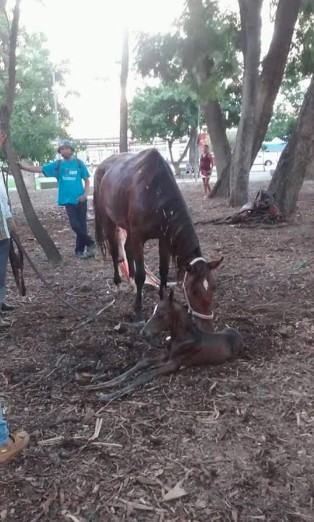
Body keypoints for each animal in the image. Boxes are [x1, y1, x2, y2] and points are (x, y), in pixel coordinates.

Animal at [89, 288, 244, 402]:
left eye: (160, 315)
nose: (143, 333)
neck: (181, 338)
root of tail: (238, 334)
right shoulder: (166, 356)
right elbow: (143, 363)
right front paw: (101, 384)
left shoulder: (174, 363)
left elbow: (146, 374)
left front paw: (108, 396)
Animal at [93, 147, 223, 330]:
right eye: (193, 291)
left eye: (214, 287)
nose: (207, 327)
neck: (155, 193)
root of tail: (101, 167)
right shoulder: (139, 238)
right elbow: (141, 275)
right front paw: (138, 312)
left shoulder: (164, 238)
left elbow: (164, 271)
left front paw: (163, 301)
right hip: (109, 222)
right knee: (115, 252)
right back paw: (118, 283)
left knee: (127, 249)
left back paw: (131, 282)